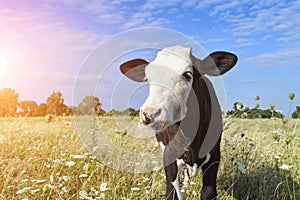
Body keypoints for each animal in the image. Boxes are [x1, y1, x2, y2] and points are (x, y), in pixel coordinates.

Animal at [119, 45, 237, 200]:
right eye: (148, 78)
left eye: (187, 75)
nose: (149, 113)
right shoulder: (169, 156)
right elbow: (172, 192)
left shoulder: (215, 156)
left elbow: (208, 192)